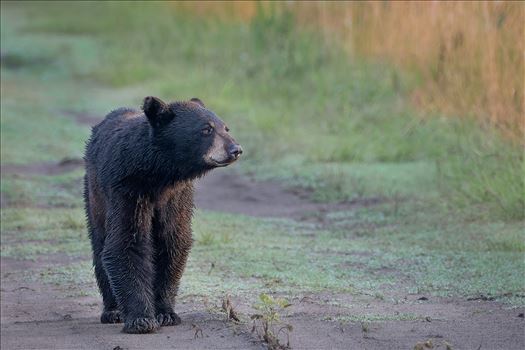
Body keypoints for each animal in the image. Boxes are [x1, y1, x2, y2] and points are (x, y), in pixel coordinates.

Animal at [83, 96, 242, 334]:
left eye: (226, 127)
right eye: (206, 129)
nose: (236, 149)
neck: (160, 174)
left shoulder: (177, 197)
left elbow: (172, 242)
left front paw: (165, 313)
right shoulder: (127, 189)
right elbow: (126, 242)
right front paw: (141, 318)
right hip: (95, 194)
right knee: (99, 241)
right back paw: (113, 310)